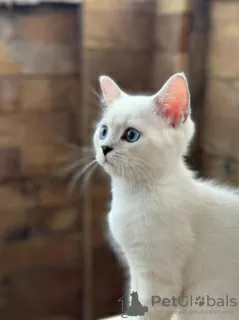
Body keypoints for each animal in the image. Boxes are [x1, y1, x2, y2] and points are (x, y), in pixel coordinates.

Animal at [92, 74, 239, 318]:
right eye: (103, 131)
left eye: (131, 135)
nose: (104, 148)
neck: (132, 196)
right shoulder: (135, 269)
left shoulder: (159, 282)